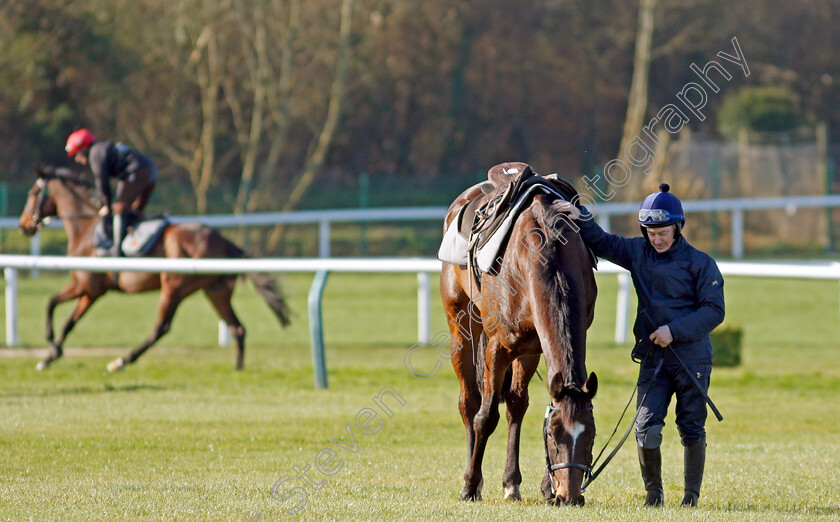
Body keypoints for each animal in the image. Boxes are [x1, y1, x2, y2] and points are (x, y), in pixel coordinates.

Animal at [17, 166, 292, 370]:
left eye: (33, 192)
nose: (23, 226)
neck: (85, 228)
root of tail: (223, 241)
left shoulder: (90, 287)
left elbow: (59, 311)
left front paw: (52, 348)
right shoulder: (85, 286)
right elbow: (59, 311)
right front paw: (50, 355)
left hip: (174, 286)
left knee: (161, 327)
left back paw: (122, 360)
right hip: (216, 290)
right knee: (237, 327)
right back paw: (238, 368)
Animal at [442, 162, 600, 504]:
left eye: (591, 434)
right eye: (553, 434)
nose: (570, 496)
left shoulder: (535, 346)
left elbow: (525, 404)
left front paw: (544, 487)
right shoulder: (498, 347)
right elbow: (486, 417)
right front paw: (470, 486)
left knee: (515, 404)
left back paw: (511, 483)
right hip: (460, 327)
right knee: (469, 402)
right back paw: (474, 480)